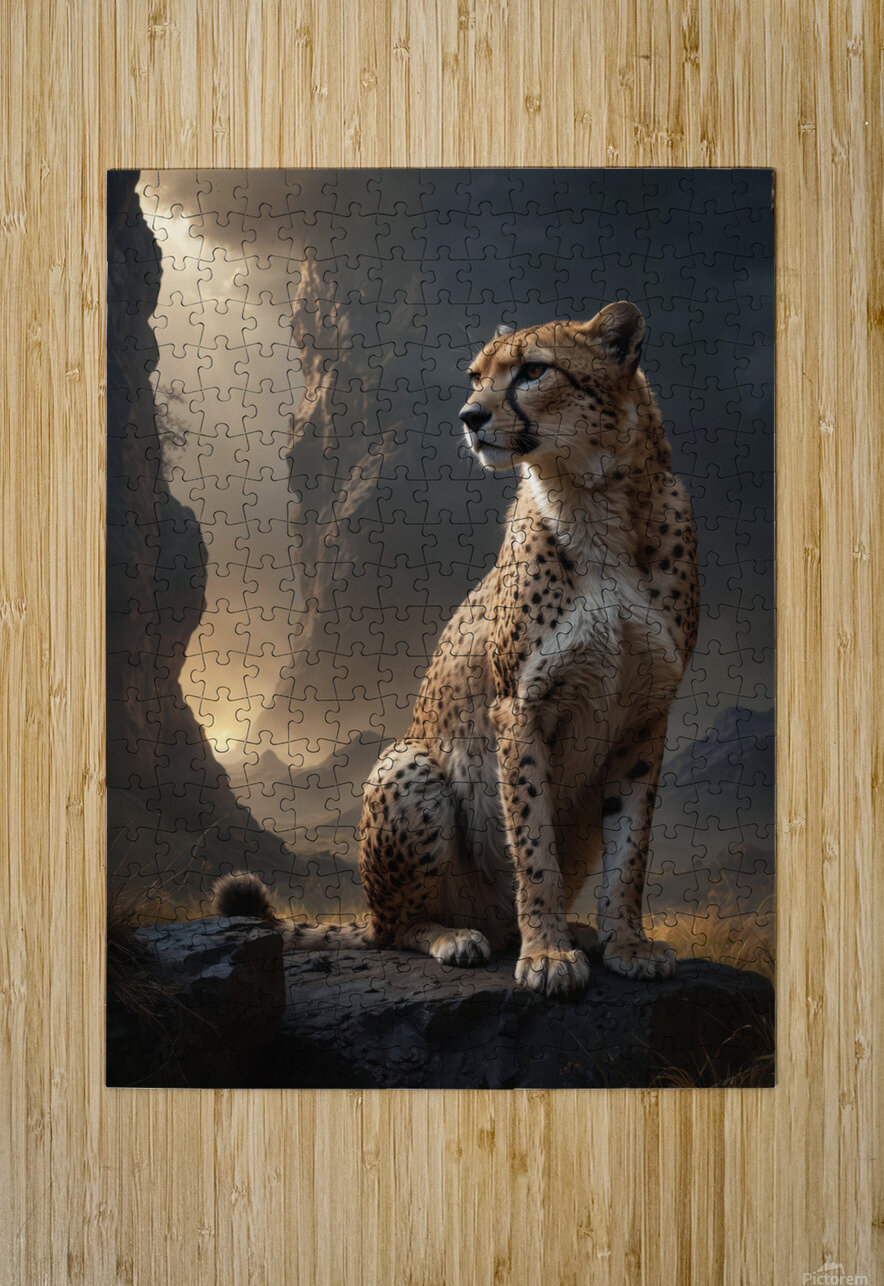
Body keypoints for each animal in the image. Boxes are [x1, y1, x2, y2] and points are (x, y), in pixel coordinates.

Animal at [215, 301, 699, 998]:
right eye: (476, 375)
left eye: (533, 371)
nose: (470, 417)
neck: (594, 501)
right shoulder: (518, 707)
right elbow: (532, 841)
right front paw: (547, 953)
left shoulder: (645, 714)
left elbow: (630, 848)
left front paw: (625, 942)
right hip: (410, 764)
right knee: (395, 927)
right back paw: (458, 937)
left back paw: (560, 931)